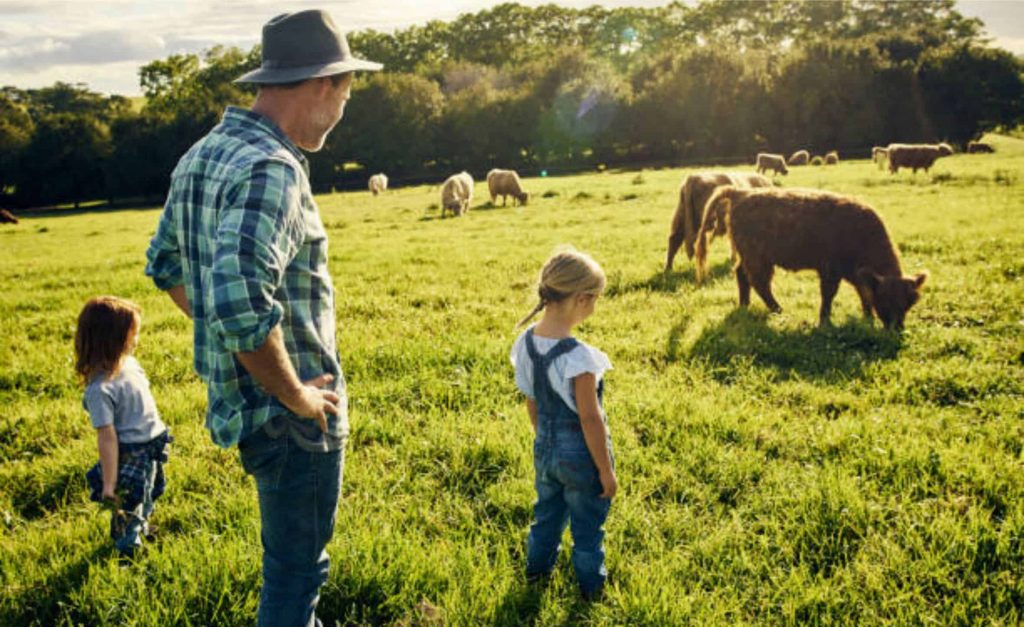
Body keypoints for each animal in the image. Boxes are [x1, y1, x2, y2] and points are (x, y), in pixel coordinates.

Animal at [696, 186, 929, 329]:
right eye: (886, 299)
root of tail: (741, 193)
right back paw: (779, 310)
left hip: (750, 256)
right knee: (759, 282)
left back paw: (745, 305)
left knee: (741, 275)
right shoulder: (830, 269)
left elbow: (863, 293)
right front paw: (824, 321)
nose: (897, 329)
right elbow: (829, 294)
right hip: (758, 257)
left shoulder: (854, 274)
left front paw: (867, 318)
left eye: (910, 302)